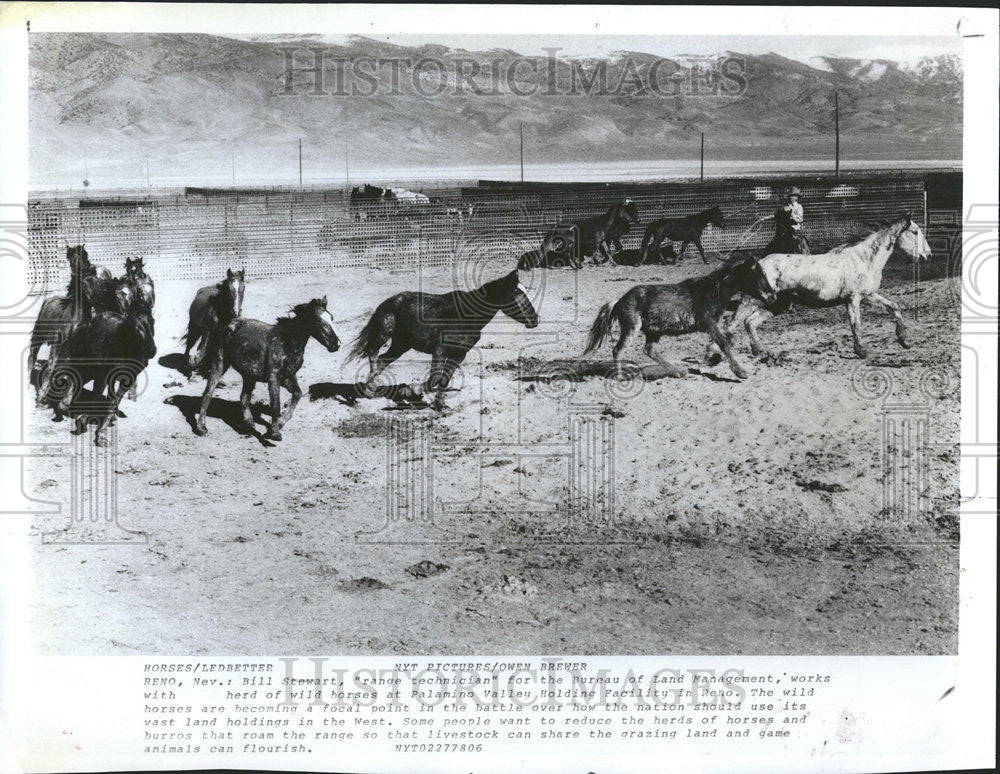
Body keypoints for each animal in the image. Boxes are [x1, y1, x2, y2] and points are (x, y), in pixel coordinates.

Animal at [47, 300, 157, 446]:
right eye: (134, 325)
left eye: (153, 321)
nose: (151, 350)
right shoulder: (103, 374)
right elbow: (96, 397)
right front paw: (83, 421)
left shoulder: (128, 379)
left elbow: (113, 402)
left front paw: (102, 433)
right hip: (86, 363)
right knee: (75, 377)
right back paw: (63, 406)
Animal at [193, 298, 342, 442]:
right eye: (318, 320)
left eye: (332, 318)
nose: (336, 344)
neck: (287, 343)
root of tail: (227, 326)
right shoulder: (274, 378)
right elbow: (275, 404)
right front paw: (275, 433)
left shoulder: (288, 377)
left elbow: (297, 394)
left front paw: (278, 425)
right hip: (220, 364)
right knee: (208, 392)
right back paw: (201, 428)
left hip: (249, 375)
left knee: (244, 397)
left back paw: (248, 423)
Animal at [350, 270, 540, 410]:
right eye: (515, 292)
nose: (535, 319)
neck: (466, 316)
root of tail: (387, 303)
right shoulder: (440, 350)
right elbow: (433, 378)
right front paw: (411, 391)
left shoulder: (459, 354)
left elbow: (443, 379)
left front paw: (440, 405)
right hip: (384, 335)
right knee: (374, 353)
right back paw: (367, 391)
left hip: (401, 344)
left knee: (383, 360)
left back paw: (372, 389)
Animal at [580, 258, 772, 382]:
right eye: (759, 275)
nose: (772, 296)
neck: (714, 291)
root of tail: (619, 301)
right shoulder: (708, 323)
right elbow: (724, 342)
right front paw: (741, 372)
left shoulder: (714, 325)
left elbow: (725, 341)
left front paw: (714, 358)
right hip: (631, 328)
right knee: (618, 350)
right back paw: (621, 376)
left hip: (654, 332)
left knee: (649, 350)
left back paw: (678, 372)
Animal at [720, 214, 928, 362]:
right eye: (915, 232)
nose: (928, 254)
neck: (863, 259)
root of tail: (756, 264)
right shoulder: (853, 299)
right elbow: (856, 324)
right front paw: (862, 351)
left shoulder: (869, 295)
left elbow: (894, 307)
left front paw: (904, 340)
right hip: (752, 299)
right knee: (731, 324)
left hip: (777, 304)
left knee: (750, 322)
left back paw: (763, 352)